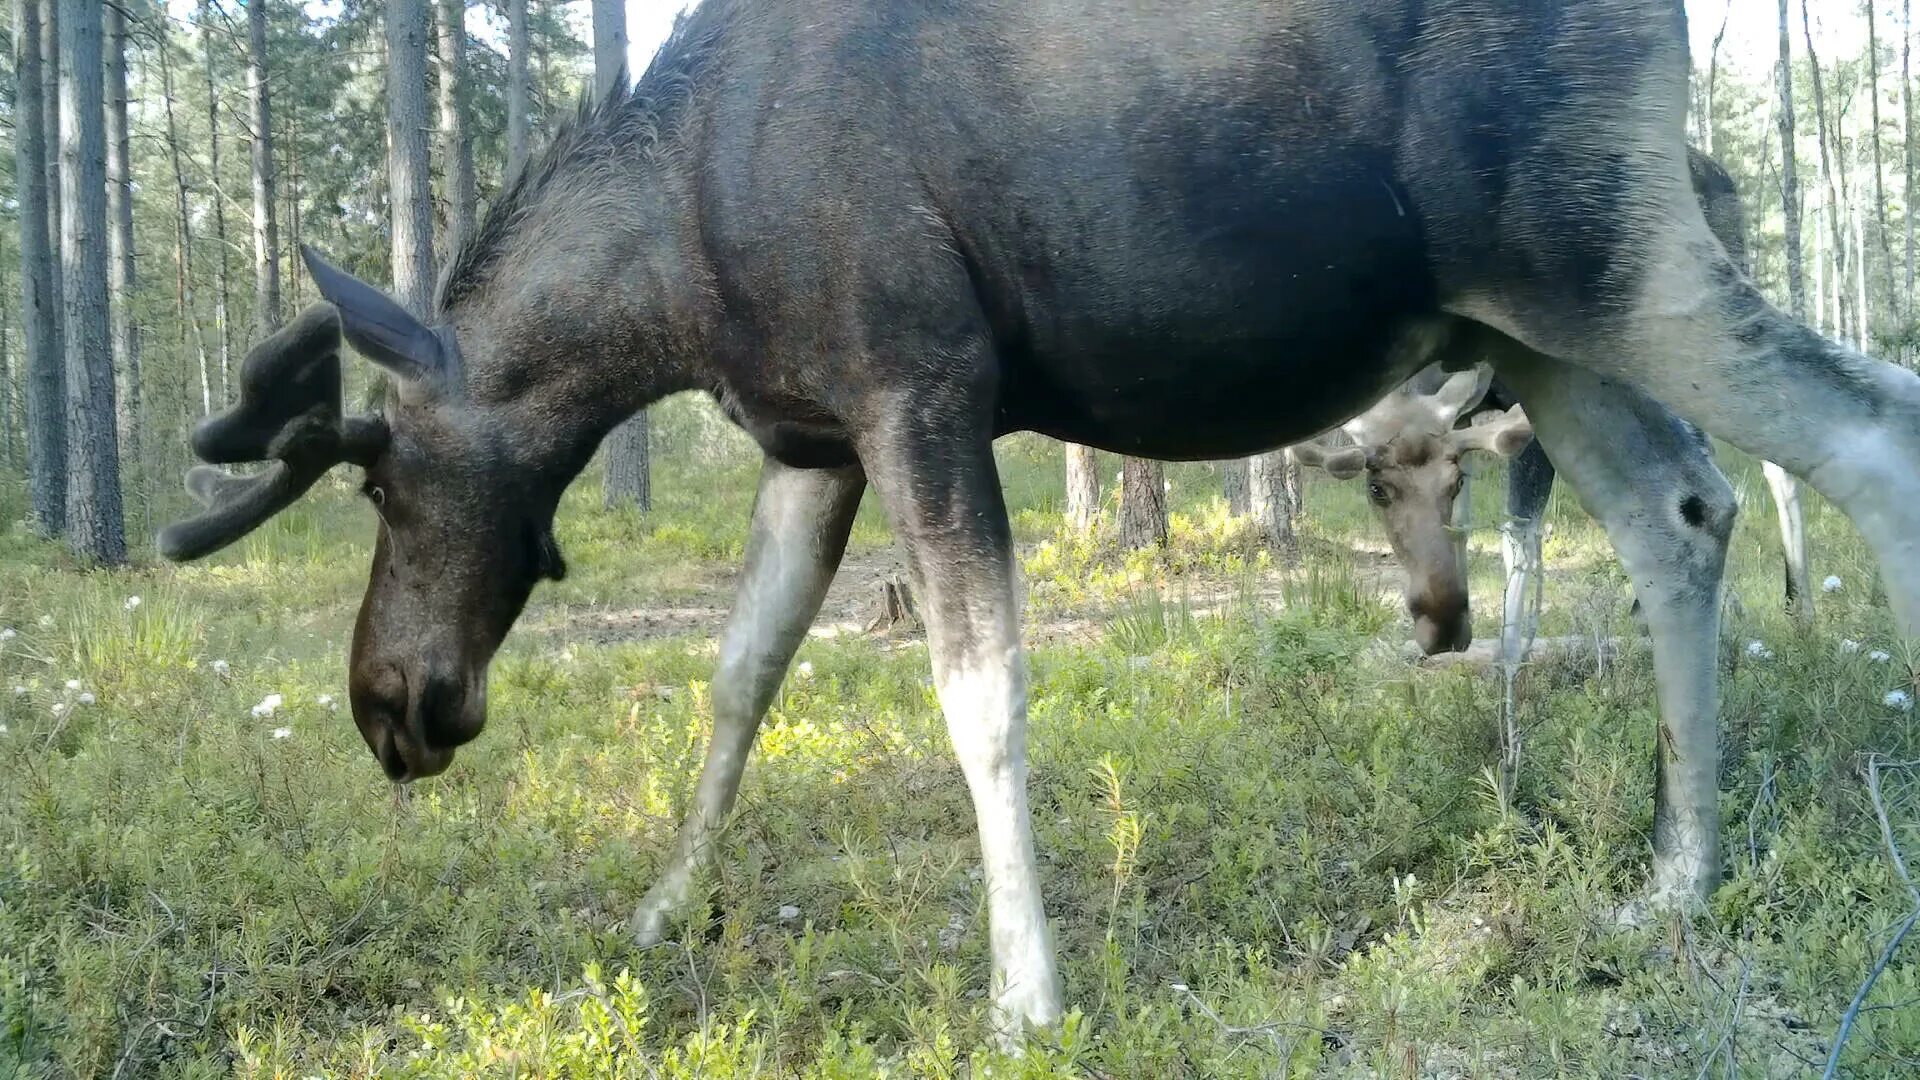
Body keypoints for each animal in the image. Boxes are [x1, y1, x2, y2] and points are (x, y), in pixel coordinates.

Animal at [157, 0, 1920, 1045]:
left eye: (379, 475)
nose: (390, 703)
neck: (670, 278)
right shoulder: (817, 439)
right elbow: (739, 675)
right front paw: (664, 908)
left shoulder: (924, 389)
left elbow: (980, 697)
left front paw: (1025, 994)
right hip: (1535, 318)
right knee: (1678, 514)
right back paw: (1677, 874)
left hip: (1605, 255)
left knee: (1865, 433)